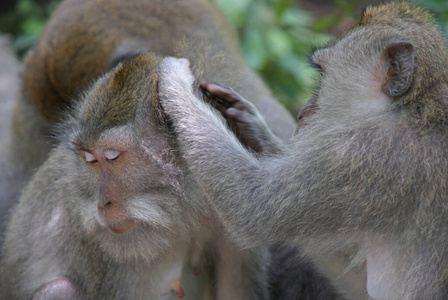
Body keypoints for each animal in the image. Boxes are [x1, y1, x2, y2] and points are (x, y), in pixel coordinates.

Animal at [158, 2, 448, 300]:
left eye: (322, 77)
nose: (303, 113)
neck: (412, 109)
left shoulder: (357, 157)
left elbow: (252, 209)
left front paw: (176, 81)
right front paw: (254, 127)